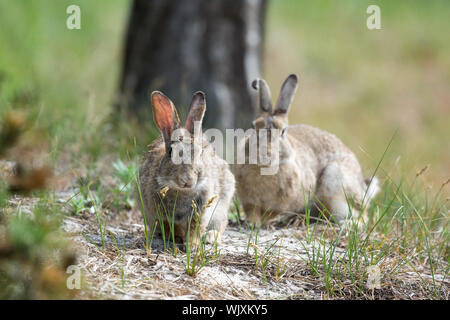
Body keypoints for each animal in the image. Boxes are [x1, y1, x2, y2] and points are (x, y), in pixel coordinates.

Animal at [139, 90, 234, 245]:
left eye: (200, 153)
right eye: (171, 151)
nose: (187, 180)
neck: (181, 191)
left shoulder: (201, 210)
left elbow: (196, 228)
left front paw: (192, 244)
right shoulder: (157, 211)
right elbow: (169, 225)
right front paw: (178, 237)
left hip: (221, 206)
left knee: (221, 224)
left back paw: (210, 237)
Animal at [234, 74, 378, 226]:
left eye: (283, 131)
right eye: (253, 125)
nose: (263, 153)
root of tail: (363, 189)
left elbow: (271, 213)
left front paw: (265, 222)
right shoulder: (249, 201)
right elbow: (252, 211)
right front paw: (252, 223)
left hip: (337, 184)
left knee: (362, 215)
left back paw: (347, 224)